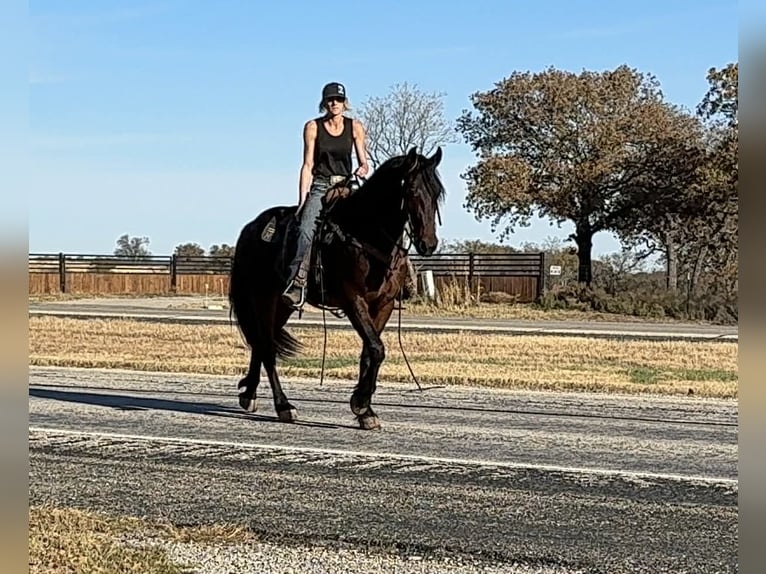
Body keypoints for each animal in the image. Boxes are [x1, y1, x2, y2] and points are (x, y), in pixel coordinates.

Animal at [228, 147, 445, 430]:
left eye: (437, 192)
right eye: (410, 189)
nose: (429, 243)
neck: (364, 233)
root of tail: (250, 228)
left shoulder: (383, 305)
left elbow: (369, 352)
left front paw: (365, 411)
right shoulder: (353, 301)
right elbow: (377, 348)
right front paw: (361, 403)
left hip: (283, 305)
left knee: (263, 343)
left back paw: (249, 395)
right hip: (263, 297)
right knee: (266, 347)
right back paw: (284, 406)